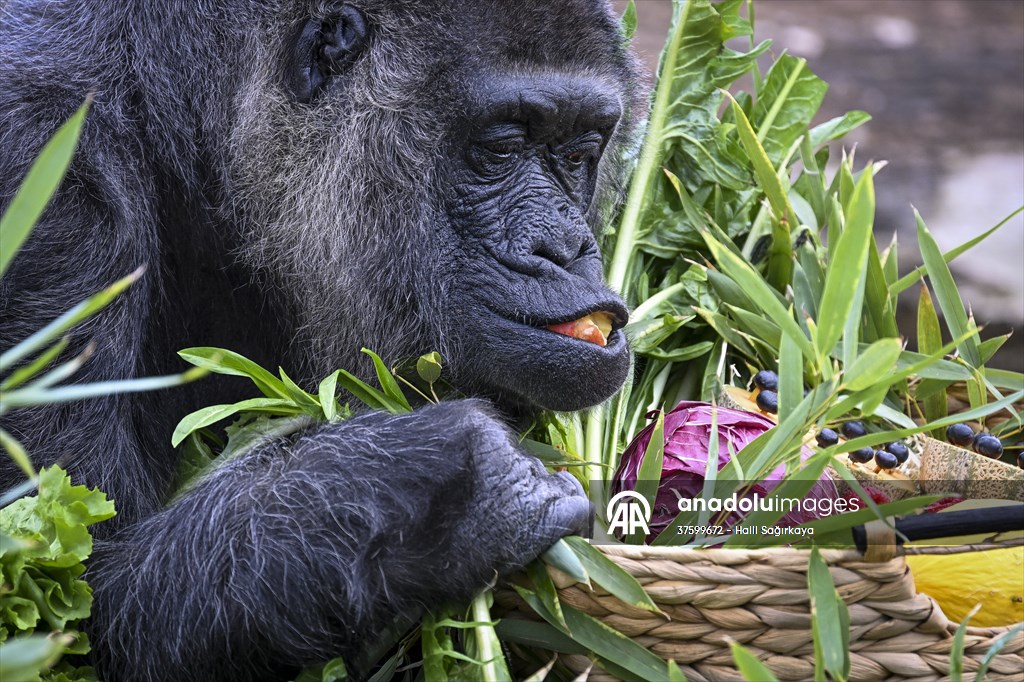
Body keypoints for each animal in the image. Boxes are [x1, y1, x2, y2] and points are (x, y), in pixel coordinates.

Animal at [0, 1, 640, 679]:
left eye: (579, 153)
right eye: (502, 147)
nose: (566, 247)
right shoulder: (45, 176)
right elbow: (86, 589)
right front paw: (446, 482)